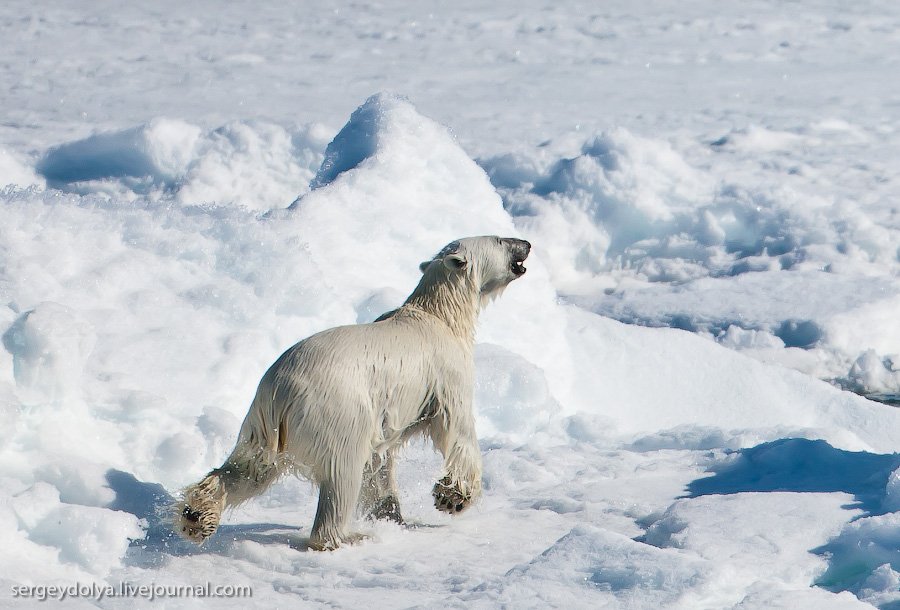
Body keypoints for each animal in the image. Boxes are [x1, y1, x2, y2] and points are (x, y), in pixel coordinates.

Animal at [175, 235, 528, 548]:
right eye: (499, 240)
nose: (526, 243)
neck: (440, 315)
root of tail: (280, 390)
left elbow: (380, 463)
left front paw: (392, 517)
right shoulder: (446, 375)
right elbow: (458, 431)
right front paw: (453, 497)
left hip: (261, 427)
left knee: (248, 470)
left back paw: (196, 516)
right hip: (337, 411)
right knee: (342, 474)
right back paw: (349, 537)